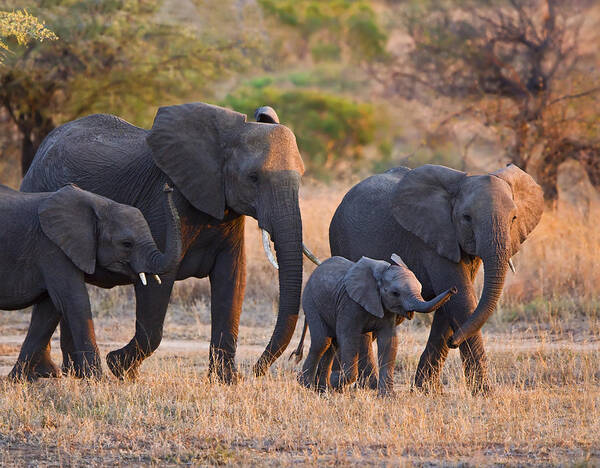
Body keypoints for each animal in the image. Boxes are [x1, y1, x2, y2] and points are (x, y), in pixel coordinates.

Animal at [0, 183, 180, 380]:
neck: (99, 205)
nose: (168, 188)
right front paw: (97, 380)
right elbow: (74, 301)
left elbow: (48, 310)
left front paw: (17, 380)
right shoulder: (52, 247)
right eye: (127, 244)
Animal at [19, 101, 310, 380]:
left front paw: (227, 380)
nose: (257, 370)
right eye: (253, 178)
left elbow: (233, 279)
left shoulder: (225, 208)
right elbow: (156, 285)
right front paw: (119, 367)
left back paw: (70, 373)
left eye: (301, 177)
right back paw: (52, 373)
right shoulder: (160, 206)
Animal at [298, 254, 458, 396]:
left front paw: (387, 396)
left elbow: (388, 341)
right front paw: (338, 381)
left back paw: (323, 389)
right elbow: (349, 337)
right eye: (395, 293)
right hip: (310, 301)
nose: (453, 289)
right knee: (322, 341)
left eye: (420, 289)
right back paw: (306, 385)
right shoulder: (349, 304)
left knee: (332, 344)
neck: (379, 275)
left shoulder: (386, 309)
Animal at [328, 163, 544, 394]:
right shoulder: (432, 240)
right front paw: (484, 392)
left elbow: (450, 305)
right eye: (466, 217)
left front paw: (427, 390)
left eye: (514, 218)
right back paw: (364, 385)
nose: (453, 342)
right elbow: (462, 301)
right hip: (342, 240)